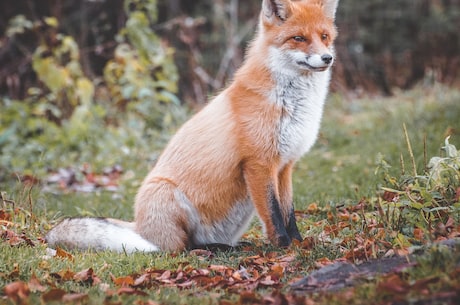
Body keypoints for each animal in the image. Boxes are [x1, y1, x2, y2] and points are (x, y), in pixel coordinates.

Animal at [45, 0, 338, 252]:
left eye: (324, 36)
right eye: (298, 38)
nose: (327, 58)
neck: (292, 105)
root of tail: (141, 229)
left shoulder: (285, 166)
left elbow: (289, 213)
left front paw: (299, 244)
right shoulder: (259, 164)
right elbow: (274, 215)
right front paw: (285, 248)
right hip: (167, 195)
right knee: (180, 248)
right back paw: (214, 250)